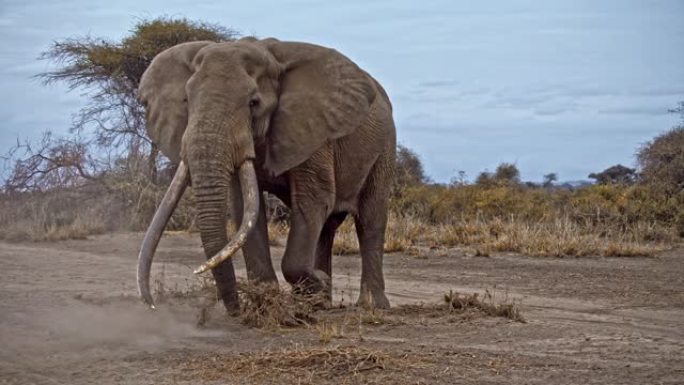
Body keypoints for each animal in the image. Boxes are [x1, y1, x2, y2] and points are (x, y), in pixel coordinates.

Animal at [134, 36, 396, 312]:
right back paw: (319, 304)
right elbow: (246, 208)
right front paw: (265, 302)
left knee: (370, 220)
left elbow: (314, 199)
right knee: (327, 228)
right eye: (186, 100)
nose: (235, 309)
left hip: (385, 147)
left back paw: (371, 306)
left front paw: (315, 283)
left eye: (253, 103)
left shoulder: (313, 130)